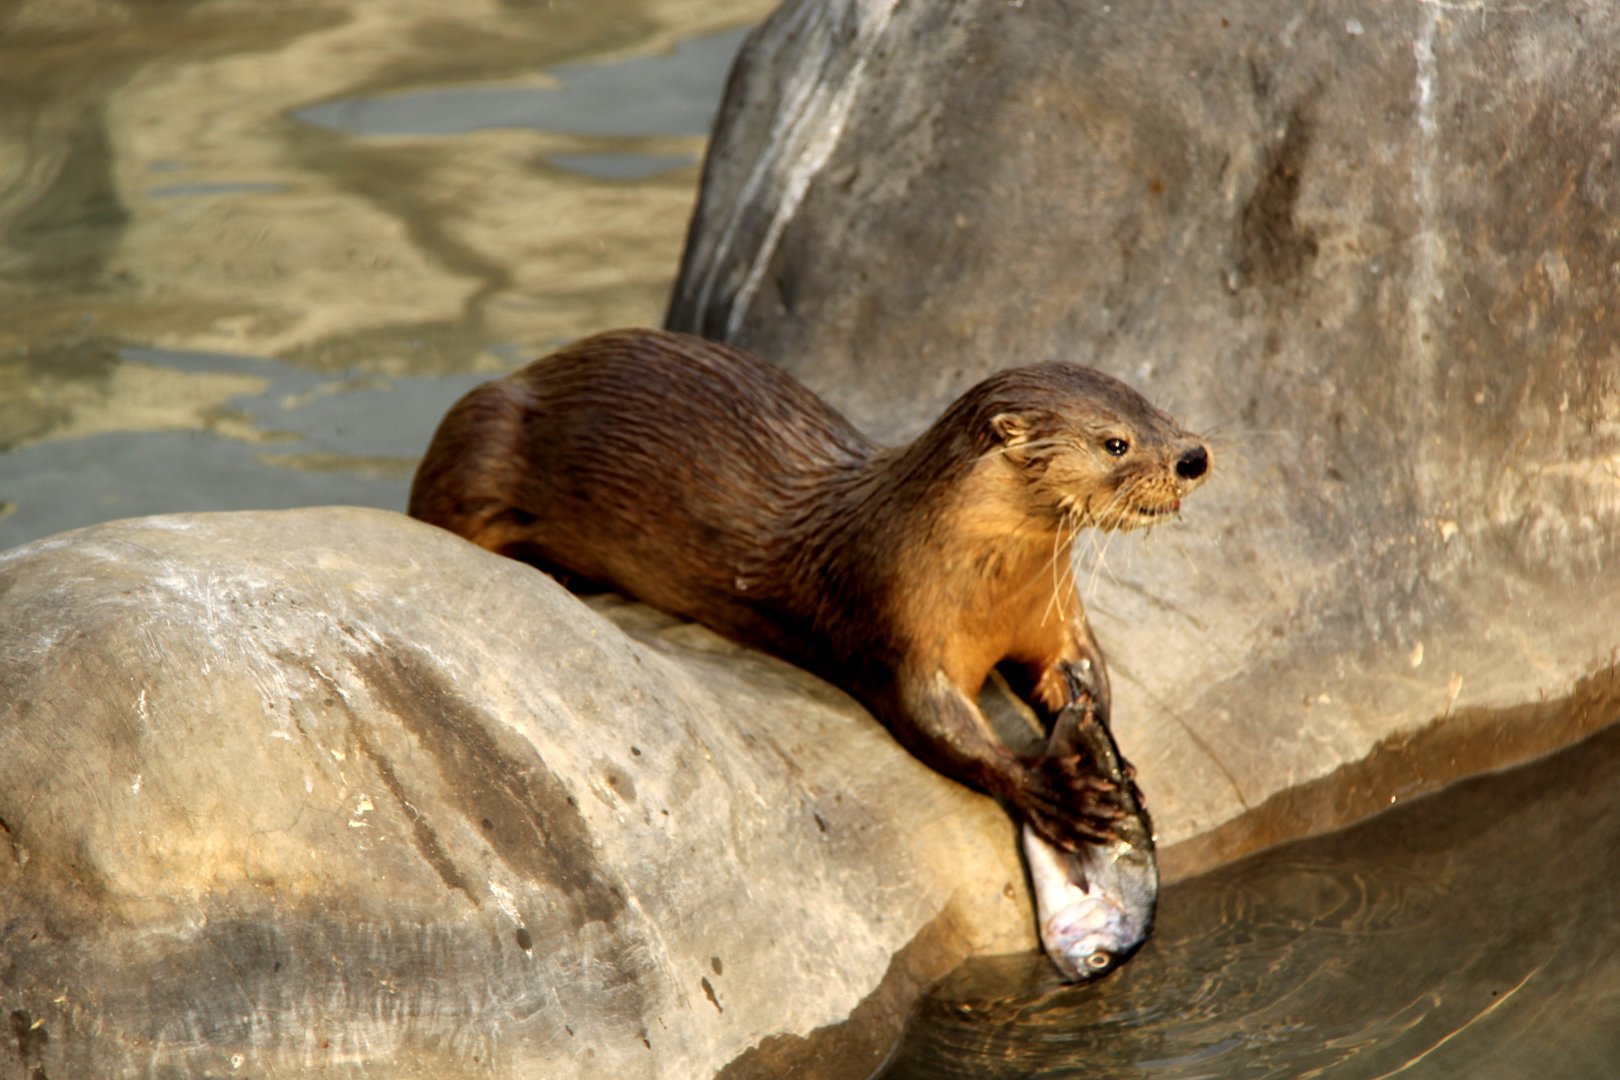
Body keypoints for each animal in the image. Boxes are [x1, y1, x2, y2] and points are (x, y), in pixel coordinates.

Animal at [408, 328, 1209, 852]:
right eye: (1115, 442)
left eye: (1161, 413)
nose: (1194, 455)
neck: (983, 586)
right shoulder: (894, 623)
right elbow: (937, 724)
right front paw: (1052, 789)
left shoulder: (1051, 610)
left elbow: (1082, 669)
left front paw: (1114, 761)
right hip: (481, 436)